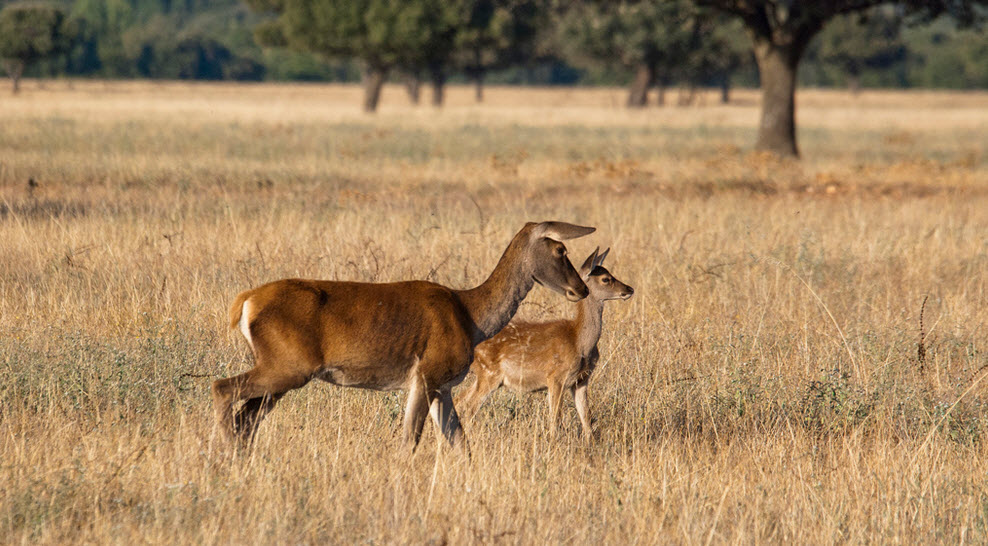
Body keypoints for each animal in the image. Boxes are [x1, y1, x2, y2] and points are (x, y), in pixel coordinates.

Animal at [211, 219, 592, 448]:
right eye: (561, 250)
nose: (581, 289)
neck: (471, 316)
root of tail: (245, 303)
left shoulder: (444, 386)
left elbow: (459, 441)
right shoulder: (426, 373)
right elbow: (411, 437)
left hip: (281, 372)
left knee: (247, 418)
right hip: (287, 365)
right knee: (223, 389)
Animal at [456, 246, 632, 438]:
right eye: (606, 279)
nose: (629, 289)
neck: (580, 341)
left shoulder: (581, 380)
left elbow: (586, 418)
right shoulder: (556, 377)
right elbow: (556, 420)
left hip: (483, 376)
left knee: (459, 400)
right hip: (489, 372)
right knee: (469, 406)